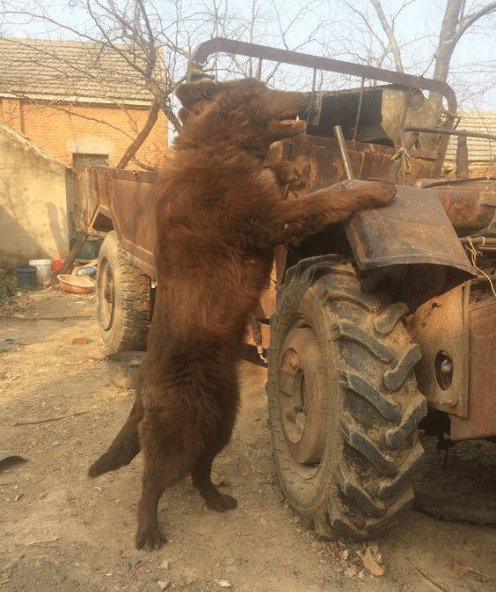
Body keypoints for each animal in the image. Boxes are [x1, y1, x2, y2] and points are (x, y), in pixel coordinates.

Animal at [87, 75, 394, 552]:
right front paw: (373, 189)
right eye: (258, 90)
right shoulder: (271, 219)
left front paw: (289, 169)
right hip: (177, 428)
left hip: (220, 421)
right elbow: (324, 199)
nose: (310, 97)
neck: (219, 147)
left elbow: (281, 171)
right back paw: (148, 530)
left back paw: (217, 500)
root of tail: (143, 387)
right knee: (152, 480)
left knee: (199, 469)